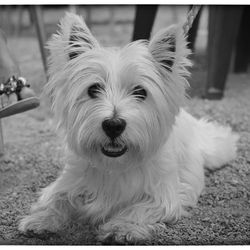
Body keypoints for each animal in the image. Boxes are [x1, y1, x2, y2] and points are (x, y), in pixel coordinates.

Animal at [19, 12, 238, 242]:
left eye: (140, 91)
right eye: (93, 89)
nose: (113, 125)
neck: (115, 166)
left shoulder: (164, 193)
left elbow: (141, 208)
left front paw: (120, 228)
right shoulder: (71, 180)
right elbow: (56, 197)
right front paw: (39, 221)